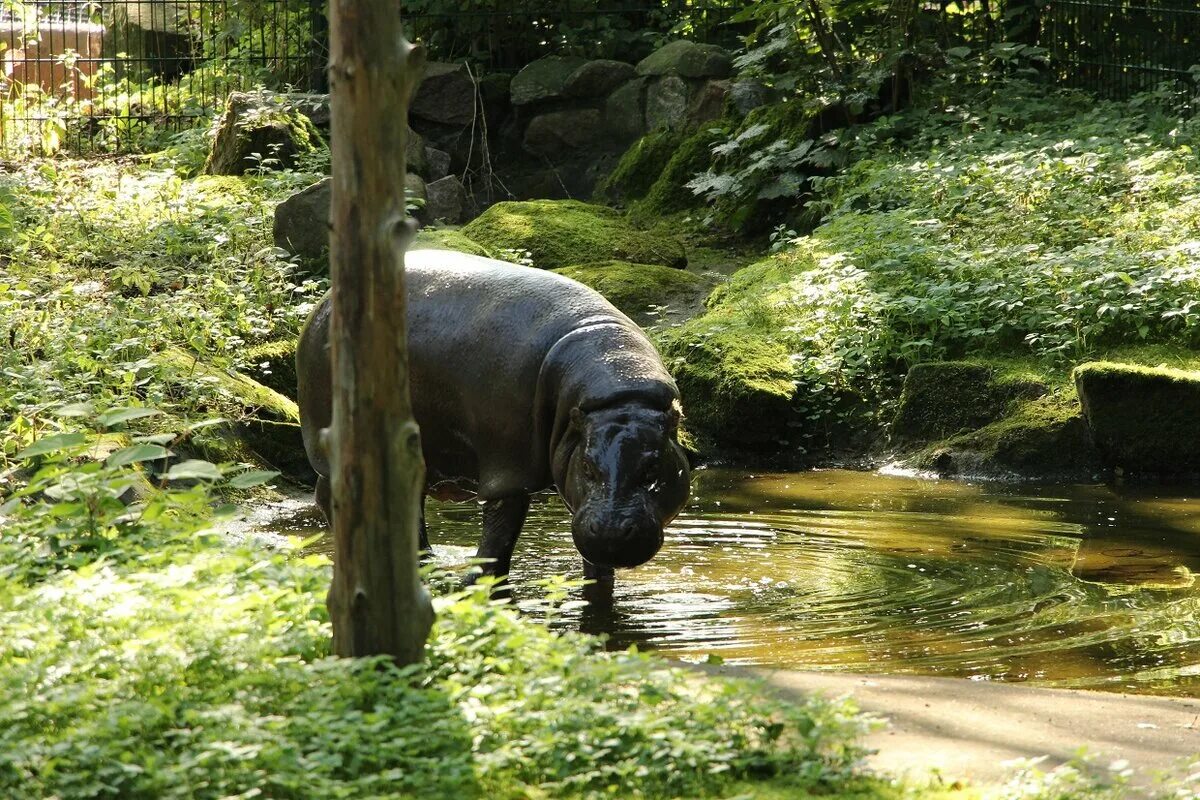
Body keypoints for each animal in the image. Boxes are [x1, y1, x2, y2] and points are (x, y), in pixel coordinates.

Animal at [297, 250, 696, 587]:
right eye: (588, 466)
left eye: (652, 467)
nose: (612, 534)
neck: (619, 390)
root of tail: (323, 303)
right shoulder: (508, 469)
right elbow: (498, 541)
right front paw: (479, 584)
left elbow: (594, 564)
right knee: (330, 492)